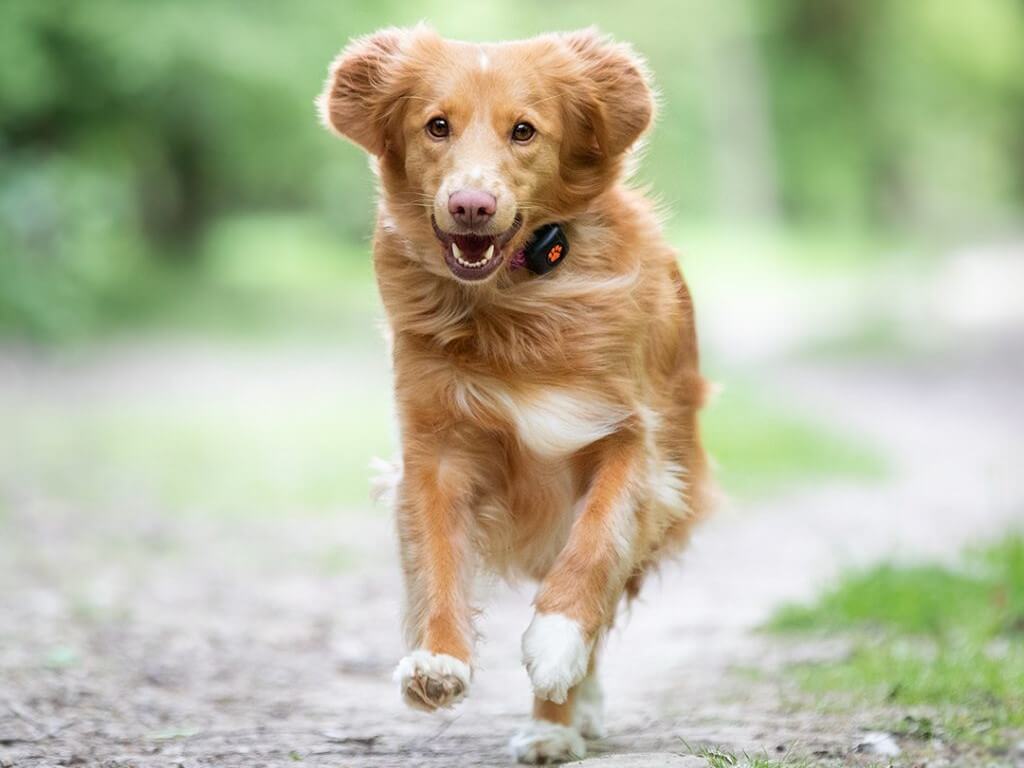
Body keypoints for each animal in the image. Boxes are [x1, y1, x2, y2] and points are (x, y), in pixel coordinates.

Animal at [319, 27, 712, 765]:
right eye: (436, 126)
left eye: (523, 131)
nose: (470, 205)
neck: (514, 302)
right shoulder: (435, 448)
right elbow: (438, 558)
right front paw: (437, 661)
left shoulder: (630, 440)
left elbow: (596, 544)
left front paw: (557, 643)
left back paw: (556, 720)